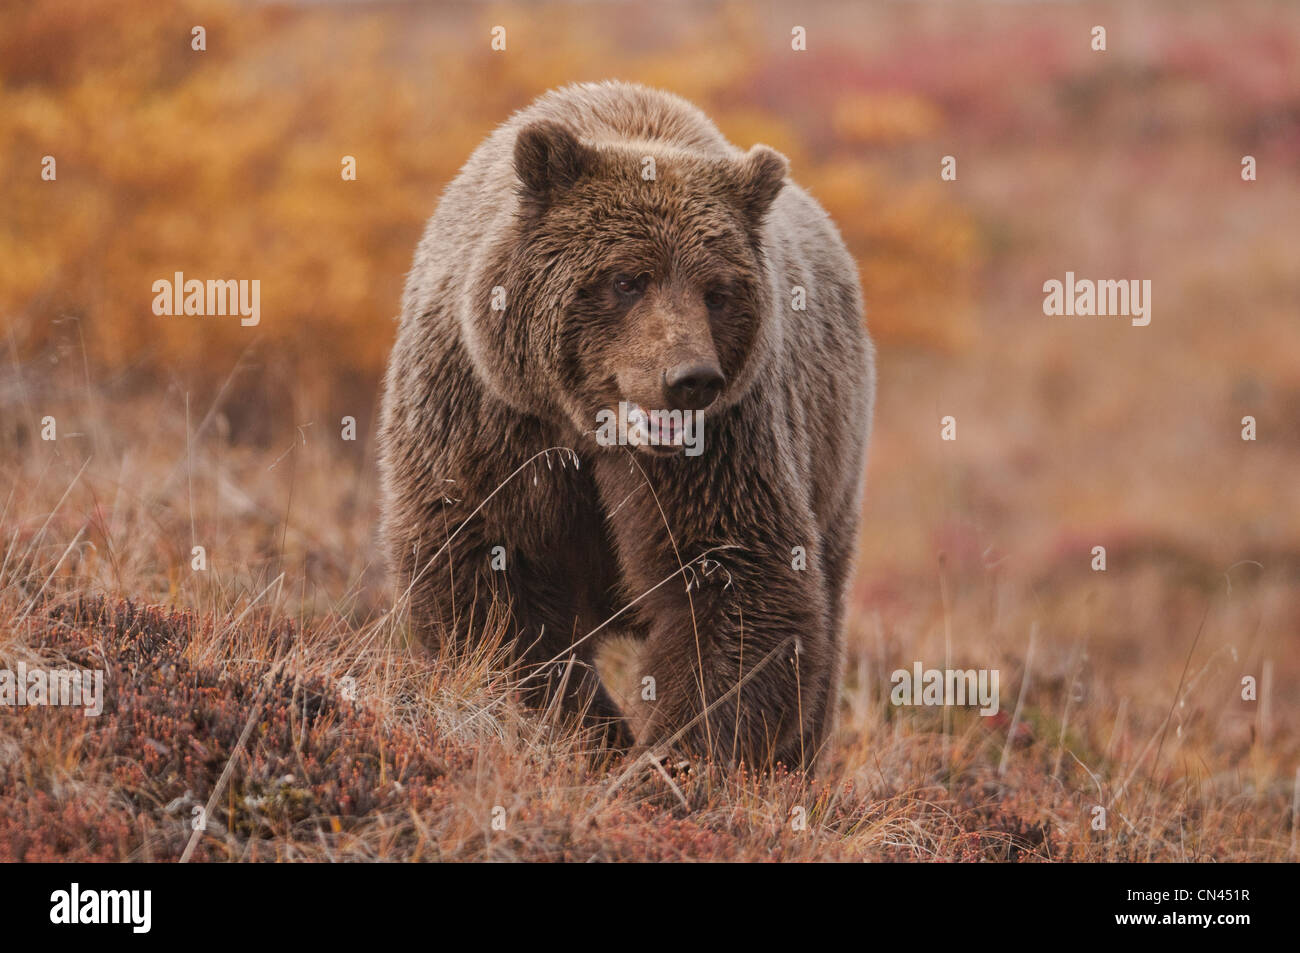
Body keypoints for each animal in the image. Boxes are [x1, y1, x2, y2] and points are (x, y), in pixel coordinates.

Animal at [378, 81, 874, 771]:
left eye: (717, 291)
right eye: (627, 278)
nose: (691, 378)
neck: (587, 428)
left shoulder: (725, 444)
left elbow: (736, 581)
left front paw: (670, 759)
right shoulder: (487, 418)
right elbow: (487, 580)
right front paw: (587, 732)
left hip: (834, 461)